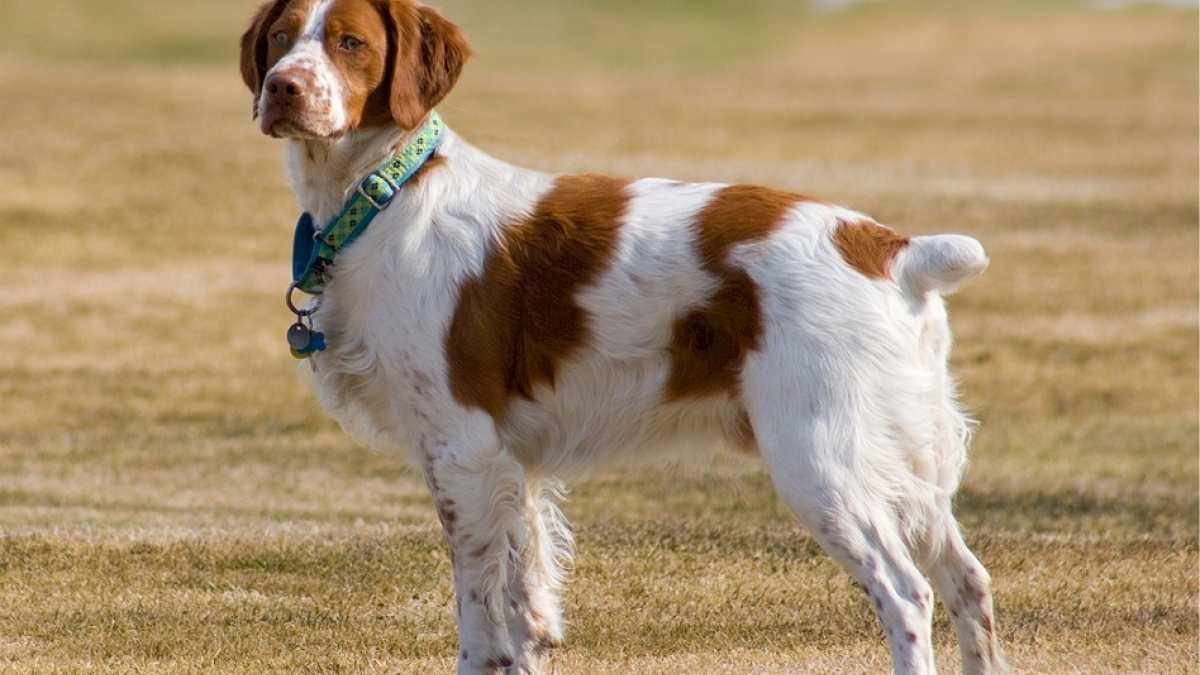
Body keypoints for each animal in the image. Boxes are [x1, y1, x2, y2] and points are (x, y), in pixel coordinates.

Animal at [238, 2, 1008, 667]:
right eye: (280, 37)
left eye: (350, 42)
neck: (386, 196)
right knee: (968, 581)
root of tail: (891, 247)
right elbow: (527, 617)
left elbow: (482, 628)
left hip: (819, 458)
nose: (282, 89)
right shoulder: (513, 469)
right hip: (905, 461)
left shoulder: (462, 452)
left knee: (908, 594)